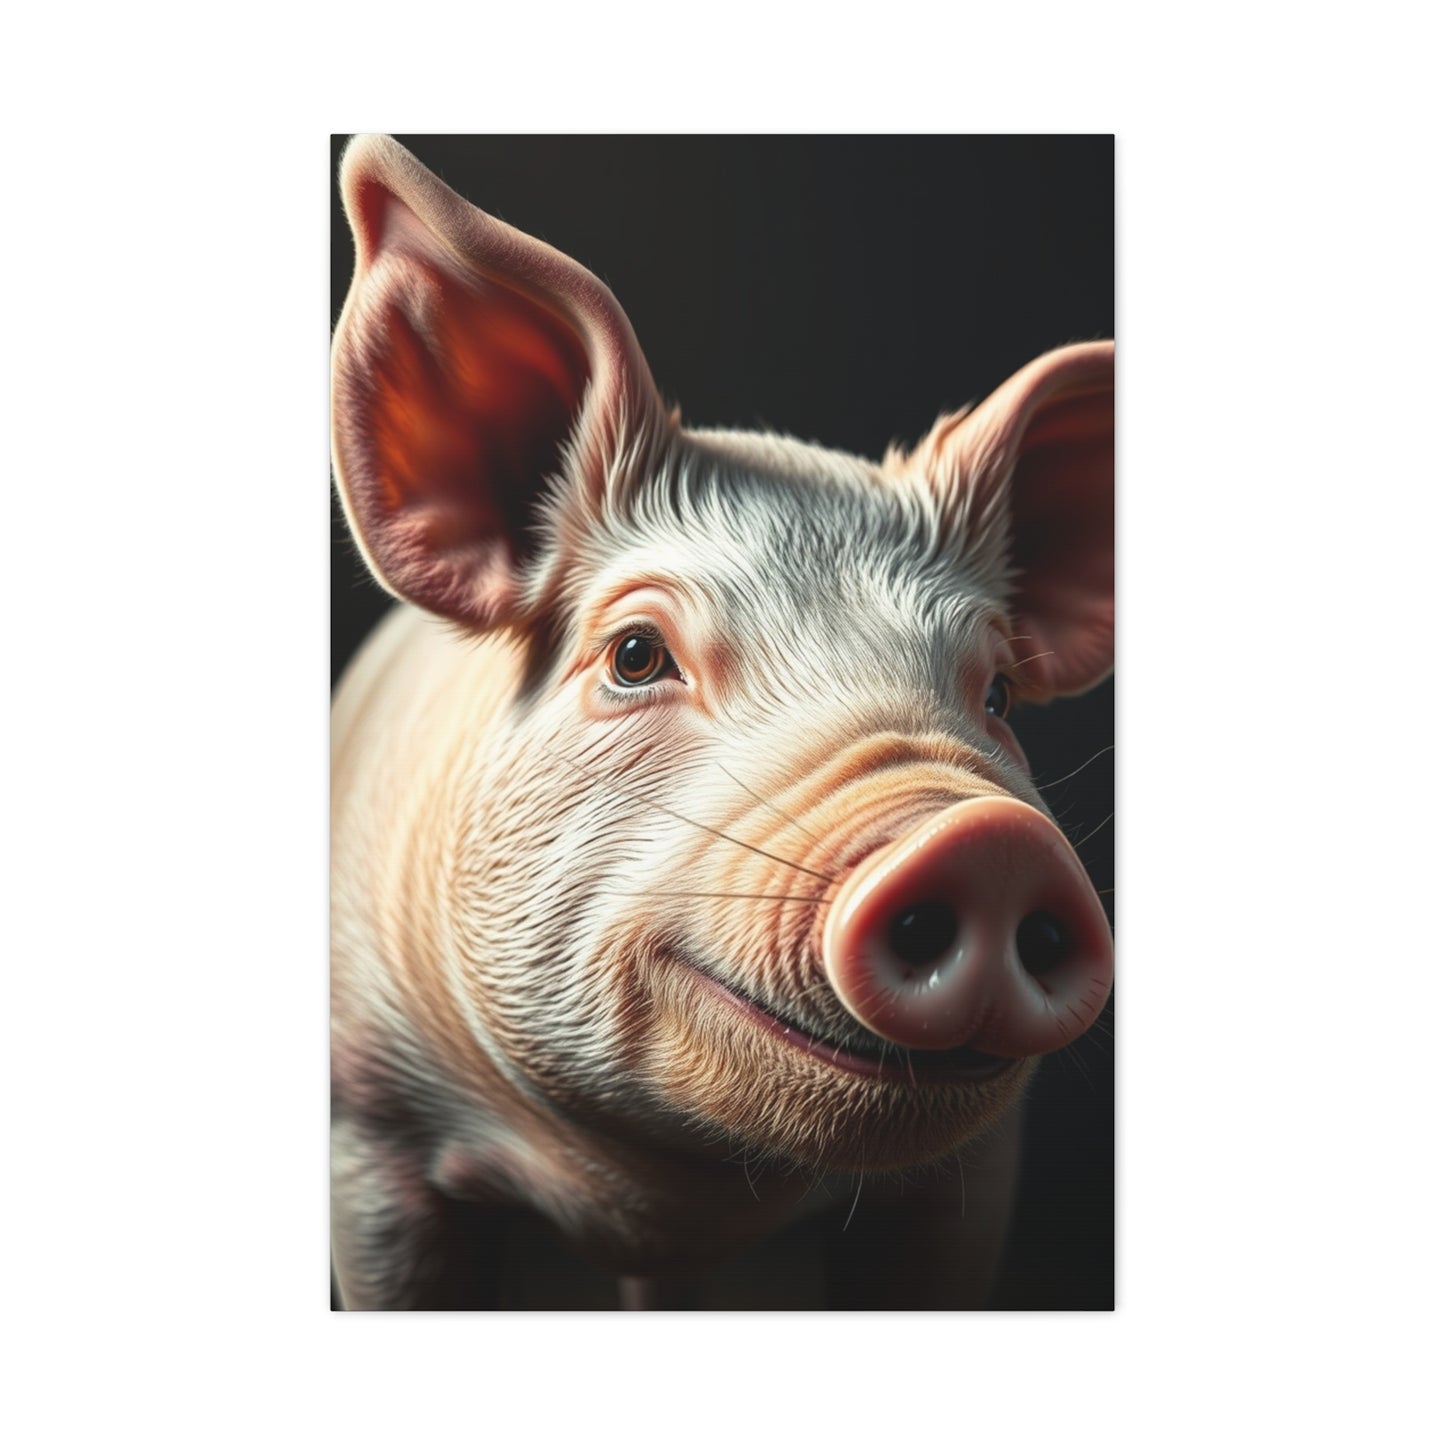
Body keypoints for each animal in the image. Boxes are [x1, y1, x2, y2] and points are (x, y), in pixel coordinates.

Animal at [330, 134, 1114, 1310]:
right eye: (635, 655)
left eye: (996, 696)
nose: (988, 837)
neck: (659, 1196)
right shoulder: (367, 1122)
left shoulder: (972, 1170)